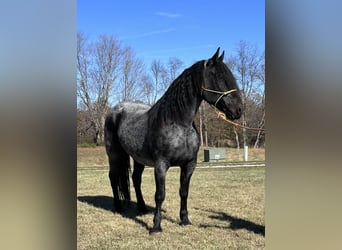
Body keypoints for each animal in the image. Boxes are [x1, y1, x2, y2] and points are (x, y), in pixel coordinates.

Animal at [104, 47, 243, 234]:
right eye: (218, 76)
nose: (238, 110)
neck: (177, 122)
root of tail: (115, 110)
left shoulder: (189, 164)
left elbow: (183, 192)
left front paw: (185, 219)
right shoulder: (161, 165)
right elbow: (160, 195)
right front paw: (156, 226)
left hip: (138, 158)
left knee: (135, 179)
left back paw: (141, 207)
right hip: (114, 155)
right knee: (113, 177)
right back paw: (118, 207)